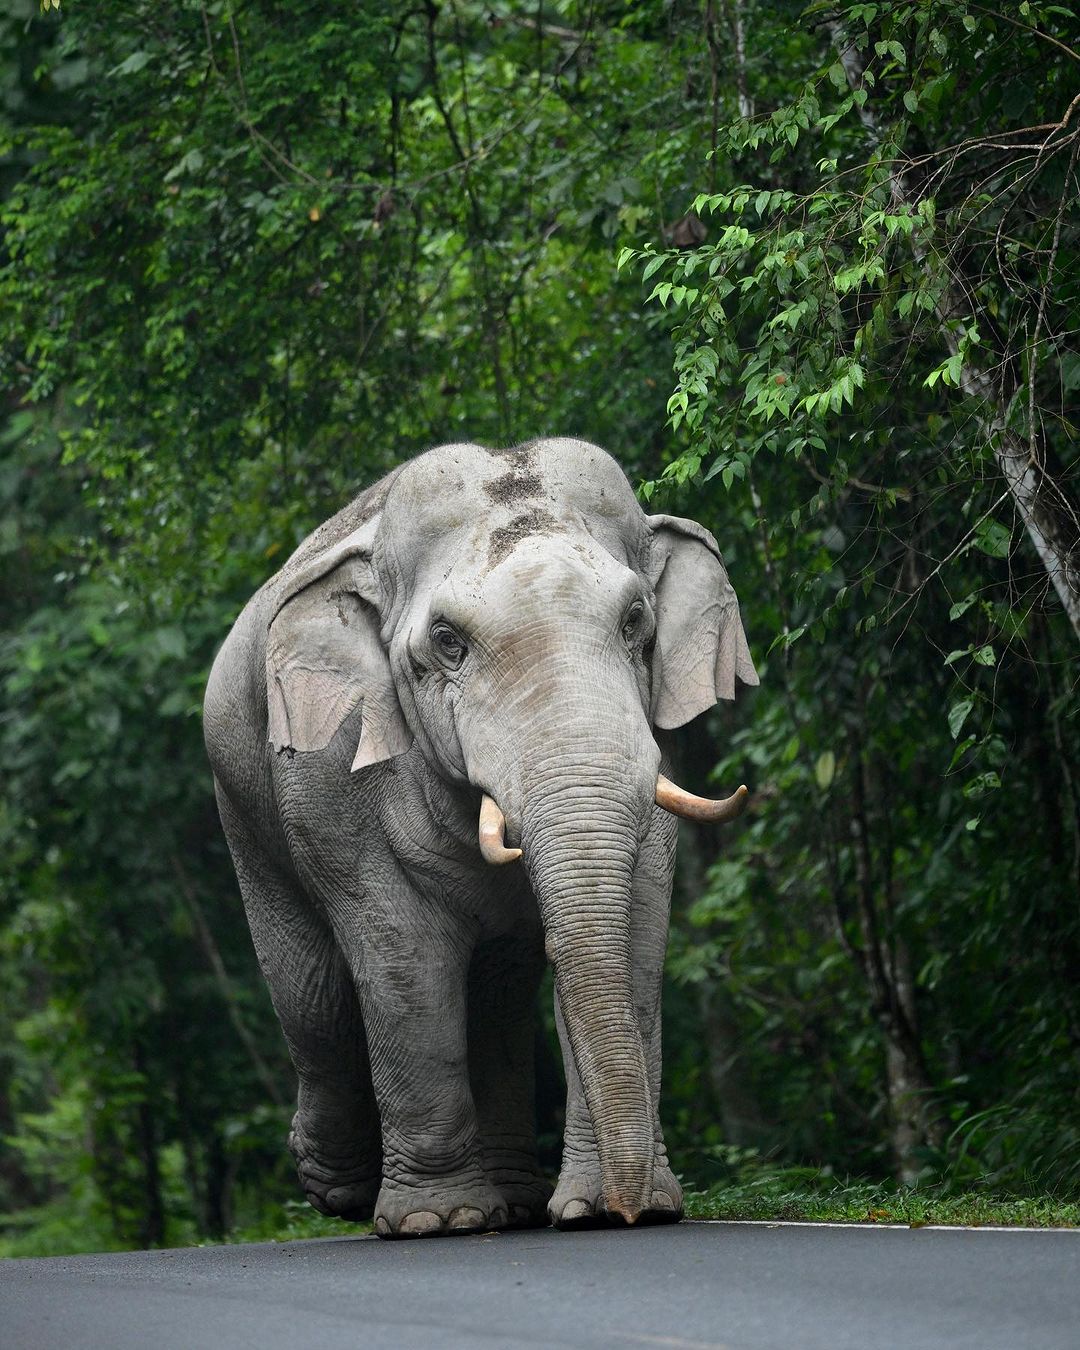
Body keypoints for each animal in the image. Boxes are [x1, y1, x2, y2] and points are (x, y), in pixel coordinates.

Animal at [205, 437, 761, 1236]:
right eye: (447, 643)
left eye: (636, 621)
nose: (627, 1213)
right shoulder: (339, 783)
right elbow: (403, 961)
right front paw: (438, 1222)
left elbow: (631, 938)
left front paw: (602, 1209)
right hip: (244, 811)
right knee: (317, 1002)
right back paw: (339, 1190)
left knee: (495, 995)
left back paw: (513, 1200)